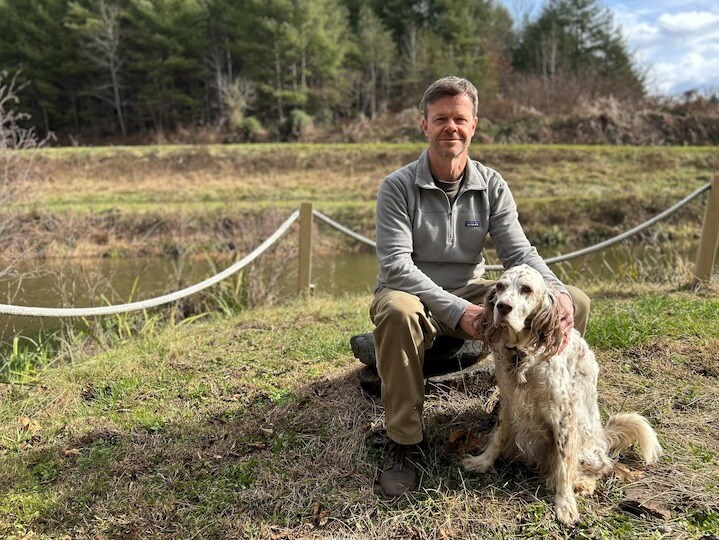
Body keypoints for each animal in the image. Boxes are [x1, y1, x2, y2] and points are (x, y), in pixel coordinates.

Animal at [464, 264, 660, 524]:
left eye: (526, 289)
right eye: (500, 287)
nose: (503, 307)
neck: (522, 355)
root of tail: (603, 437)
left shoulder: (564, 414)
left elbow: (565, 466)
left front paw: (565, 504)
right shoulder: (508, 402)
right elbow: (497, 437)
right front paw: (483, 462)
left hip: (587, 443)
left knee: (602, 466)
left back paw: (584, 483)